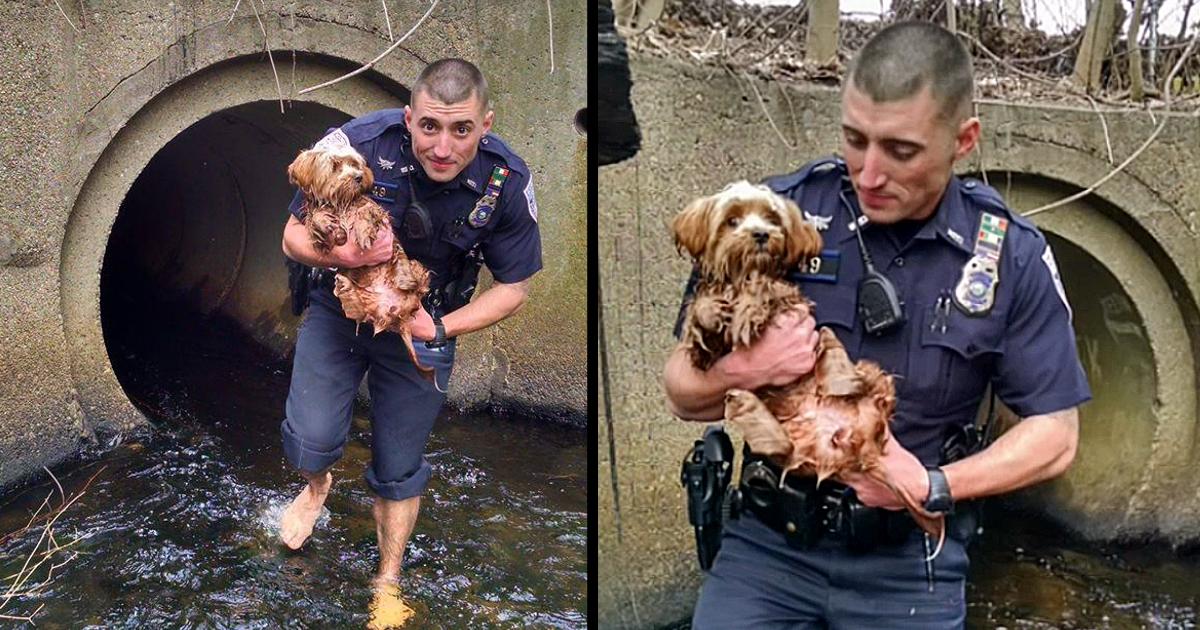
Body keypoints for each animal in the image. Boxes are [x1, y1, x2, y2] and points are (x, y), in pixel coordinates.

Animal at [288, 142, 434, 379]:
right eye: (335, 165)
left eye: (355, 164)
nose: (358, 176)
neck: (342, 202)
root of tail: (398, 315)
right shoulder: (320, 232)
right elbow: (316, 222)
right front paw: (324, 223)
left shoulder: (376, 212)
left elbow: (367, 211)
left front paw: (363, 231)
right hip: (361, 302)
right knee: (355, 308)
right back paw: (345, 287)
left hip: (414, 269)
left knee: (417, 282)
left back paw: (405, 279)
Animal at [672, 180, 940, 544]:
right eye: (731, 220)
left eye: (772, 218)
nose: (761, 234)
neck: (741, 274)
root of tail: (854, 443)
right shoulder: (708, 353)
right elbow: (700, 322)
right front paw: (710, 311)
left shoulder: (790, 299)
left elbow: (765, 287)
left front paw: (748, 307)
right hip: (793, 446)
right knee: (781, 446)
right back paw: (746, 404)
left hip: (867, 371)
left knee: (858, 373)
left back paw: (840, 380)